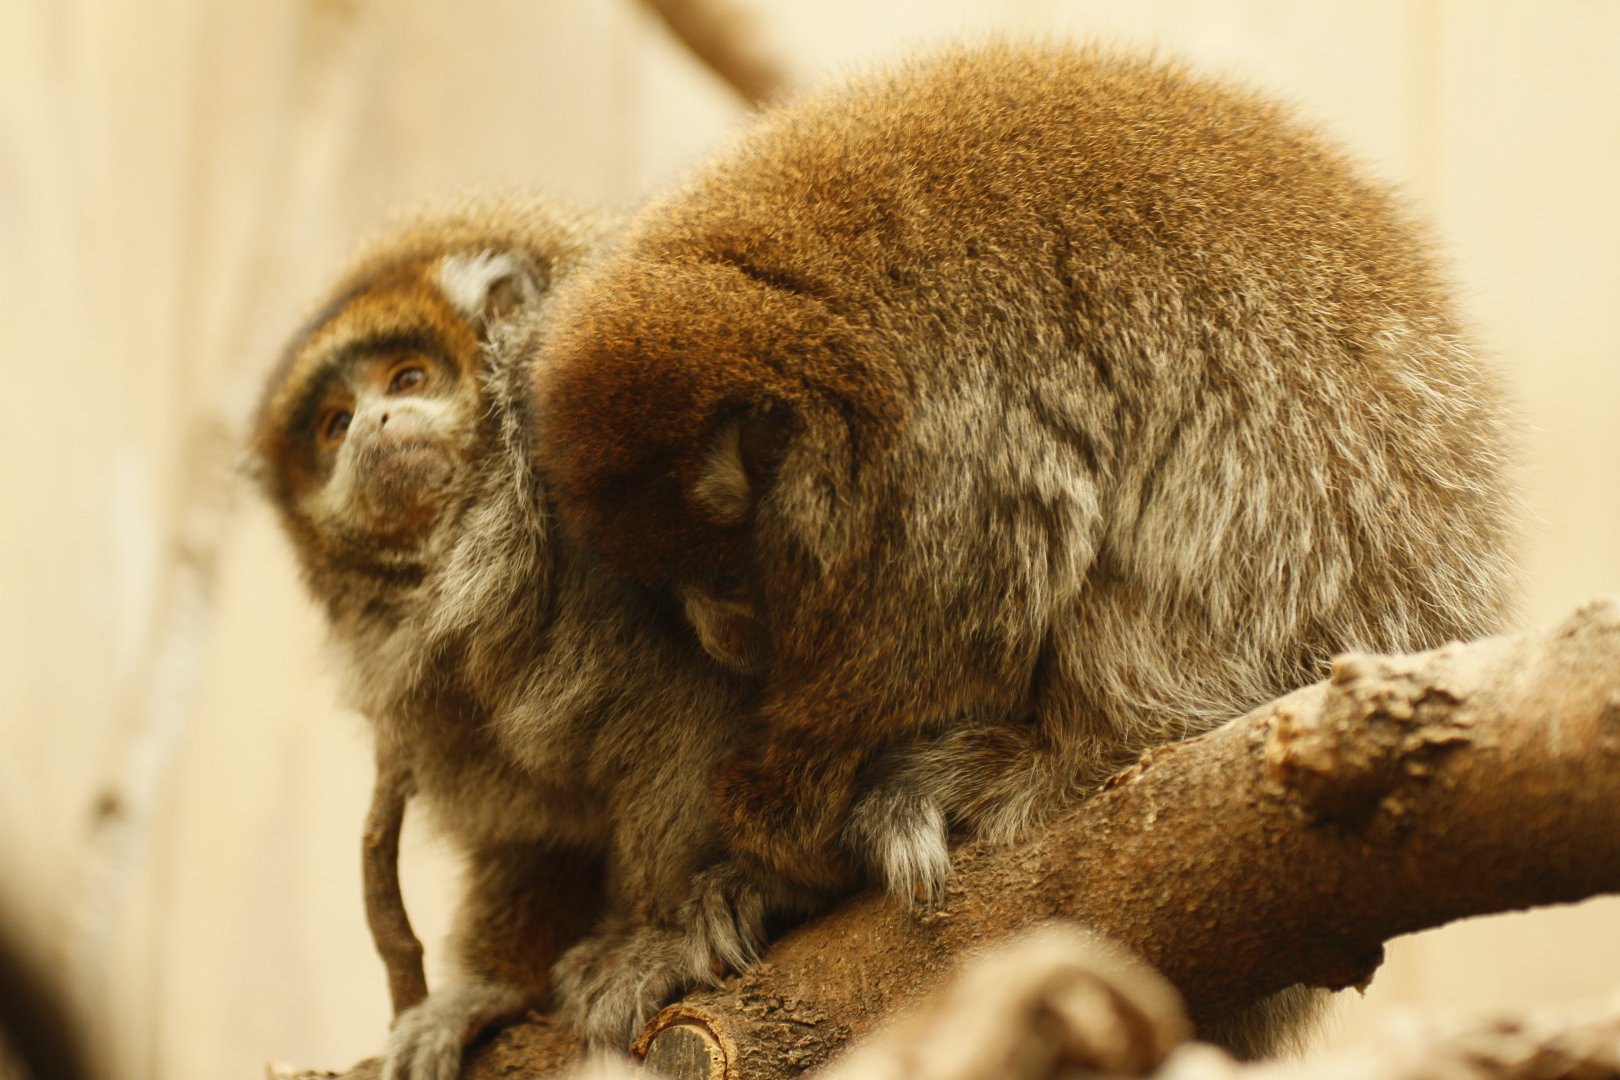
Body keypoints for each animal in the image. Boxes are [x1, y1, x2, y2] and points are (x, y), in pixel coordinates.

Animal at [249, 195, 807, 1076]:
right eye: (334, 426)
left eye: (408, 378)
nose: (373, 422)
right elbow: (539, 825)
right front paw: (491, 989)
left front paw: (672, 933)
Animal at [530, 42, 1519, 1055]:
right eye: (678, 585)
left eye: (727, 574)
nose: (717, 631)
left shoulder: (951, 442)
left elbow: (948, 634)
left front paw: (776, 854)